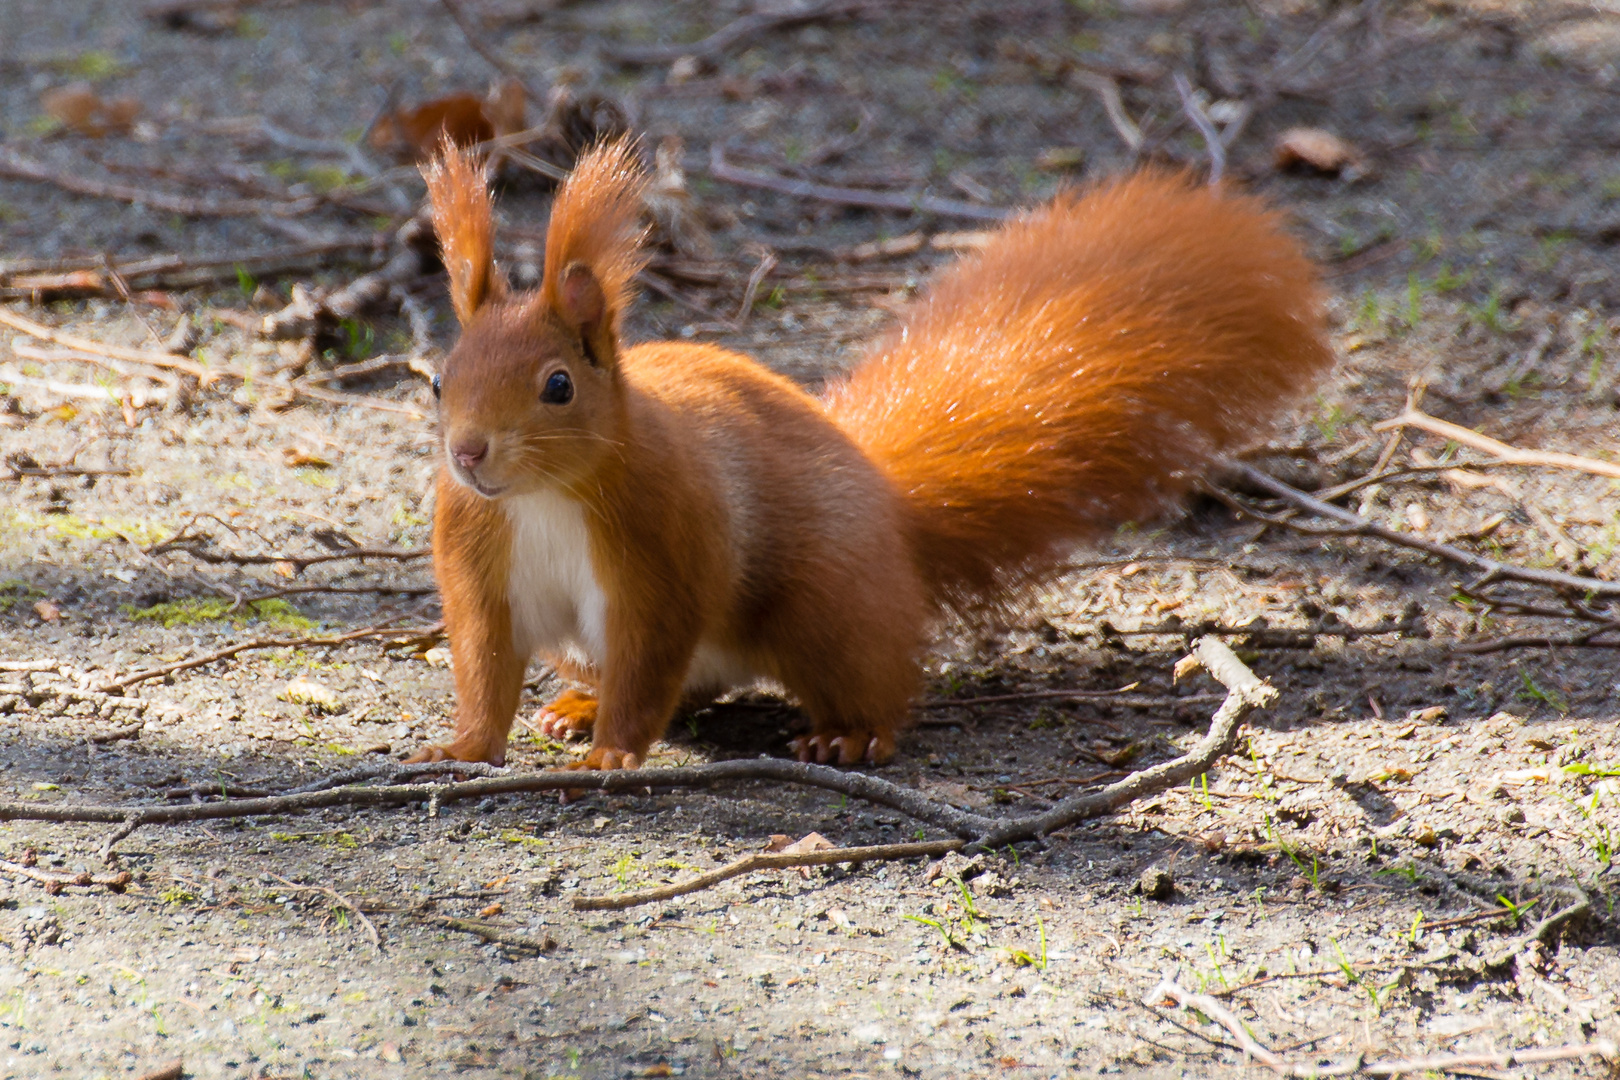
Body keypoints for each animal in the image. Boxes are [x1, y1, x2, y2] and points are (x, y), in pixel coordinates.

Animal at [401, 139, 1328, 773]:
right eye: (441, 379)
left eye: (558, 386)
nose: (469, 454)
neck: (542, 498)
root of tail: (888, 504)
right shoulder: (478, 562)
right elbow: (484, 661)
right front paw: (464, 748)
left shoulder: (665, 550)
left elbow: (651, 657)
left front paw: (616, 752)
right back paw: (576, 702)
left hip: (827, 606)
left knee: (873, 685)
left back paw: (845, 736)